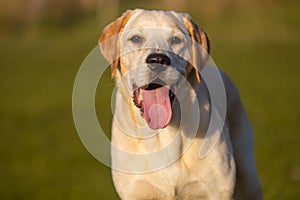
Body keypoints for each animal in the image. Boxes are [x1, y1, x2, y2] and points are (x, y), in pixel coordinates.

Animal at [99, 9, 262, 200]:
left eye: (176, 40)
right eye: (136, 38)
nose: (158, 60)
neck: (164, 133)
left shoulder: (217, 191)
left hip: (247, 174)